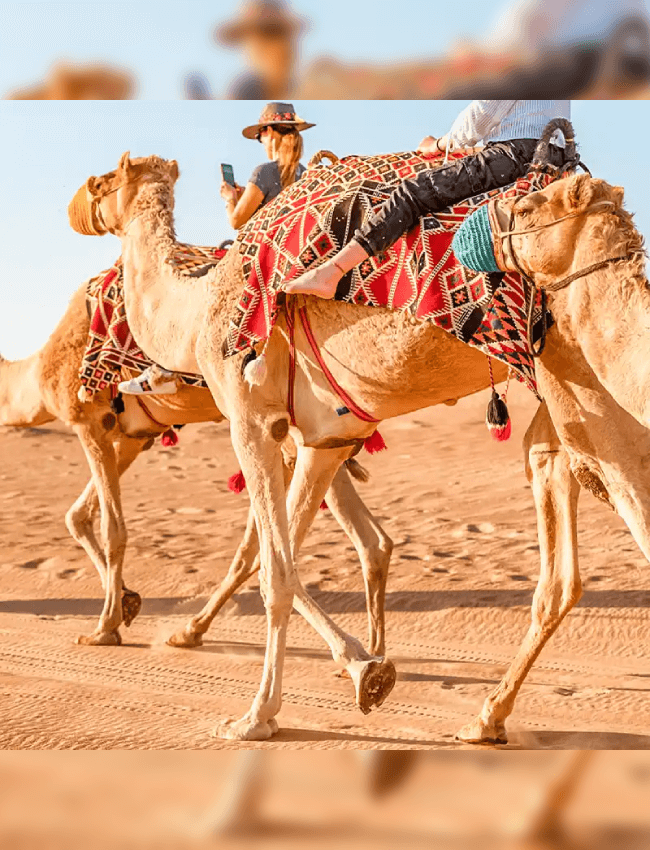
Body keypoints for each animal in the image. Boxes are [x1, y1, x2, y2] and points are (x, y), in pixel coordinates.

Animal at [0, 282, 390, 652]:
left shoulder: (89, 421)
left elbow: (113, 528)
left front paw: (105, 628)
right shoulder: (135, 437)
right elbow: (77, 515)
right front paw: (128, 601)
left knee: (341, 539)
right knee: (365, 541)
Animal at [68, 147, 644, 744]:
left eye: (100, 182)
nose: (76, 209)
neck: (196, 309)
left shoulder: (250, 418)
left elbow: (275, 571)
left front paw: (257, 716)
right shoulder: (327, 438)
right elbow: (285, 559)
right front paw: (366, 670)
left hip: (575, 367)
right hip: (570, 375)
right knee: (565, 539)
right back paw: (485, 717)